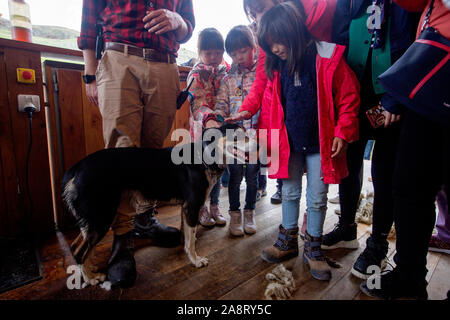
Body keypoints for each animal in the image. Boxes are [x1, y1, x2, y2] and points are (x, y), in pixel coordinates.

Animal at [62, 124, 258, 284]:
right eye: (237, 136)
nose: (258, 146)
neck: (204, 156)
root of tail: (77, 168)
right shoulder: (192, 206)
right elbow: (191, 240)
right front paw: (195, 260)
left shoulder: (185, 208)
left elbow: (187, 235)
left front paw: (187, 248)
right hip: (101, 216)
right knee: (79, 251)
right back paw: (90, 278)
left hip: (92, 218)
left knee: (77, 246)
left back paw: (90, 268)